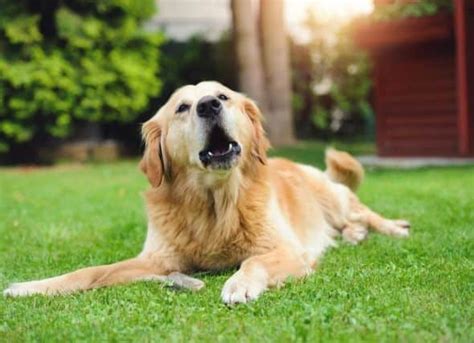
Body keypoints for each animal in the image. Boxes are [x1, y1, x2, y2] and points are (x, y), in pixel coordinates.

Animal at [2, 82, 408, 306]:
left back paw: (392, 228)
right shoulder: (157, 261)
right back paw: (355, 236)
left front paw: (240, 285)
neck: (213, 202)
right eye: (182, 107)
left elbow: (253, 262)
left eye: (223, 96)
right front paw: (32, 286)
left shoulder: (288, 250)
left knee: (363, 212)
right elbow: (90, 272)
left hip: (333, 200)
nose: (208, 104)